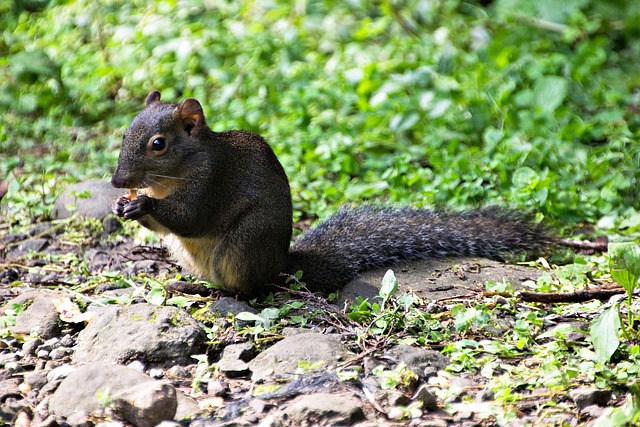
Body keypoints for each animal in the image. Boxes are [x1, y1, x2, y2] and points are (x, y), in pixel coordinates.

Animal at [111, 90, 552, 298]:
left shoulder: (212, 183)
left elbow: (191, 218)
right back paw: (190, 285)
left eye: (157, 144)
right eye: (125, 132)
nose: (117, 182)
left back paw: (215, 291)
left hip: (244, 245)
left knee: (248, 289)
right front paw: (124, 205)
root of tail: (281, 264)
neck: (171, 177)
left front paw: (143, 203)